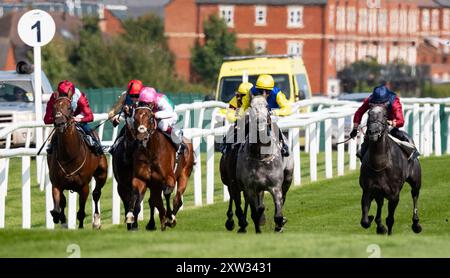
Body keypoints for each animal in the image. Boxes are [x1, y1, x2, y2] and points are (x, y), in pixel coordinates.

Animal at [47, 95, 108, 228]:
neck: (69, 156)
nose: (60, 123)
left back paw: (96, 221)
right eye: (54, 107)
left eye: (69, 108)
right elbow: (59, 206)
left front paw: (80, 227)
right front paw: (58, 218)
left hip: (102, 173)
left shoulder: (83, 186)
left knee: (96, 193)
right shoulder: (56, 184)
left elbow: (81, 212)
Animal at [236, 95, 296, 232]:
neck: (261, 156)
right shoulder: (251, 188)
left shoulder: (275, 186)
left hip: (288, 177)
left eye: (267, 106)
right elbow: (255, 213)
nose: (261, 123)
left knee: (283, 197)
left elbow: (278, 215)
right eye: (251, 106)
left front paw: (279, 225)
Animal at [358, 104, 422, 235]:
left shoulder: (394, 195)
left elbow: (390, 219)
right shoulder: (368, 191)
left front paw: (389, 233)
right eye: (369, 113)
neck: (379, 165)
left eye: (385, 115)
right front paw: (374, 222)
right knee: (380, 204)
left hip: (416, 181)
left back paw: (416, 224)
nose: (373, 132)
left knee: (415, 195)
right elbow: (365, 221)